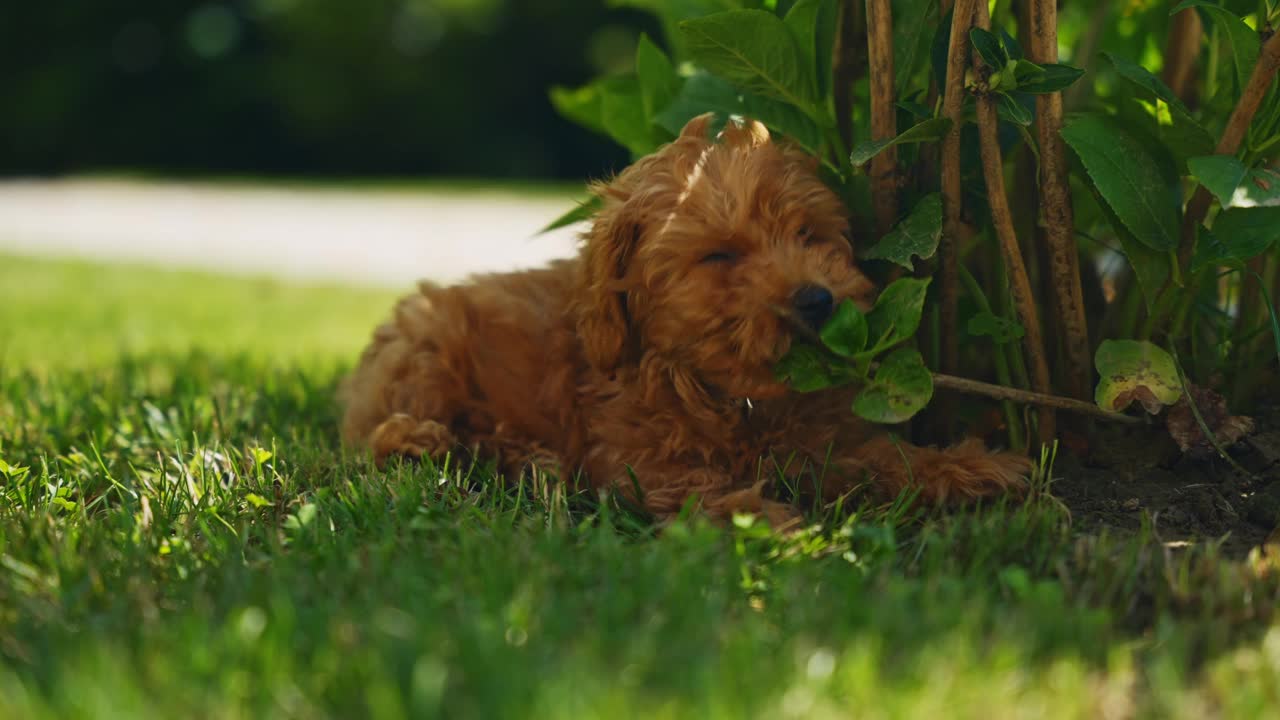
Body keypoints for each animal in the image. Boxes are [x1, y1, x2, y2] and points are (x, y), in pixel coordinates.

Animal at [343, 114, 1029, 525]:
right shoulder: (639, 461)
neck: (735, 397)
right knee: (377, 438)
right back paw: (450, 445)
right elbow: (701, 488)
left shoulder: (822, 441)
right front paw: (770, 524)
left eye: (808, 236)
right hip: (427, 345)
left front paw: (968, 467)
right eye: (720, 255)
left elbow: (881, 456)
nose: (816, 299)